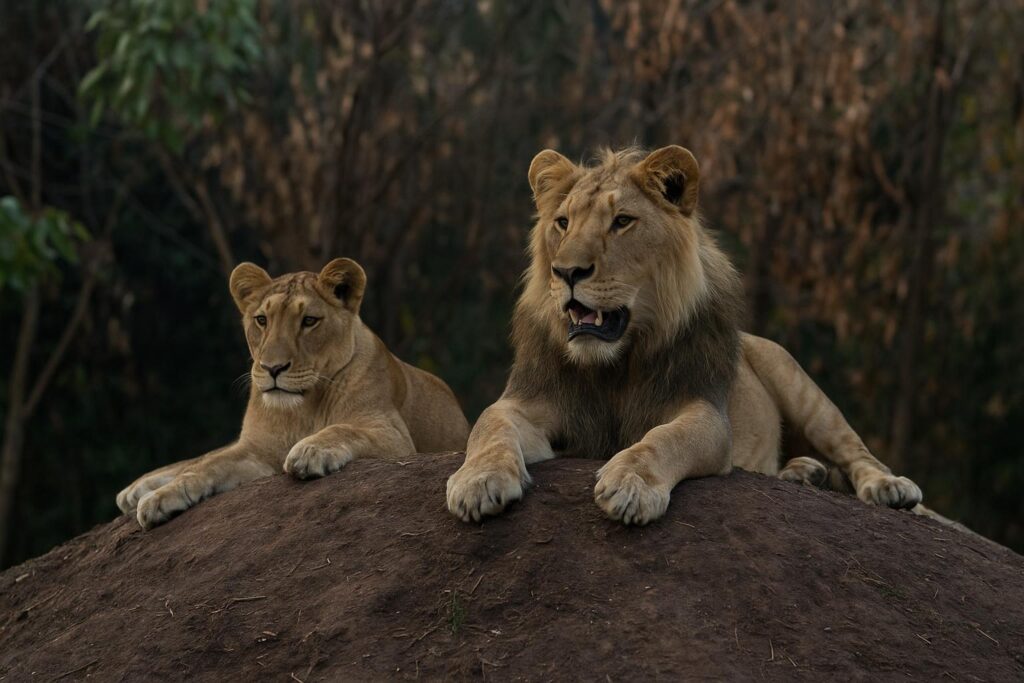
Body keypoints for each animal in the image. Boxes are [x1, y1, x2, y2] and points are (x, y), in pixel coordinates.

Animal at [117, 258, 470, 529]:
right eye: (261, 320)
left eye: (309, 321)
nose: (273, 368)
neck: (302, 408)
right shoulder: (257, 451)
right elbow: (208, 465)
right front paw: (160, 498)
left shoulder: (396, 437)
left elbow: (343, 428)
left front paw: (310, 450)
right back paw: (137, 489)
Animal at [446, 145, 922, 525]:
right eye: (562, 223)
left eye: (622, 221)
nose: (567, 272)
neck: (614, 364)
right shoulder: (530, 402)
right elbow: (489, 427)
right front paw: (479, 481)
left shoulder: (706, 412)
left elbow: (663, 440)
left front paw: (630, 483)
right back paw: (804, 472)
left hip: (801, 389)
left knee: (856, 451)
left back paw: (890, 488)